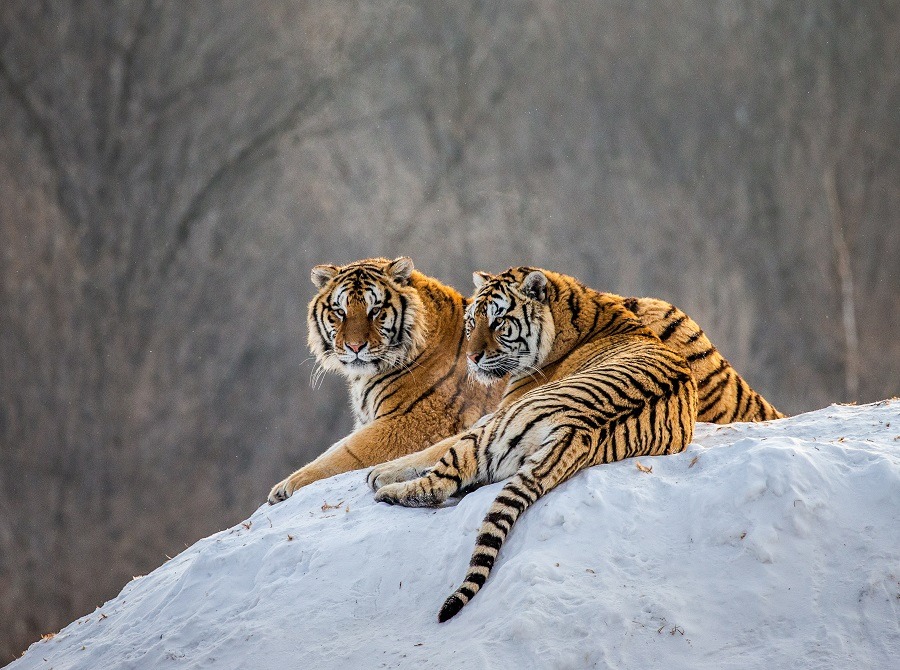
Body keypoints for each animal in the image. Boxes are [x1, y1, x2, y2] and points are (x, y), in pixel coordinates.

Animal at [268, 258, 506, 504]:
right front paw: (282, 486)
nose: (354, 346)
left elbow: (345, 453)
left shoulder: (408, 421)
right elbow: (334, 448)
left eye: (375, 310)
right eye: (340, 312)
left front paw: (292, 483)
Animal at [370, 268, 700, 624]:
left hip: (492, 430)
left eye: (499, 321)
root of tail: (576, 430)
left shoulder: (497, 411)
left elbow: (434, 447)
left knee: (437, 484)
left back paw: (387, 492)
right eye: (472, 321)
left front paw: (380, 471)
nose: (472, 358)